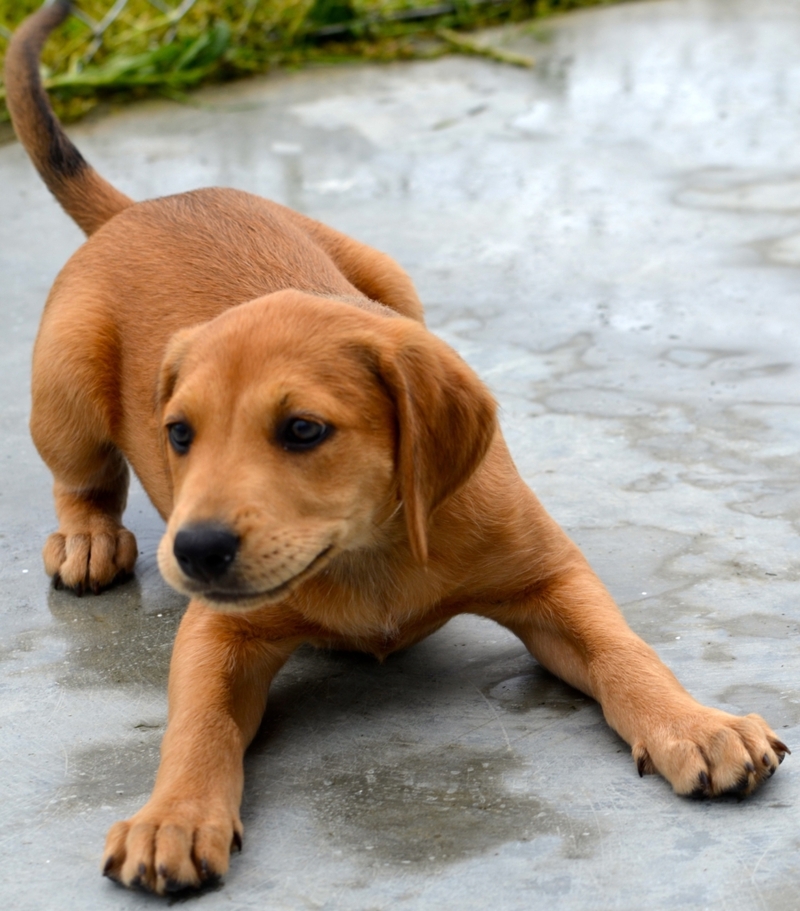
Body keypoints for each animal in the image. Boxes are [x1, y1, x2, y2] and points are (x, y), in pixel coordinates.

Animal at [6, 0, 792, 896]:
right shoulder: (217, 631)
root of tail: (142, 206)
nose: (195, 550)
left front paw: (696, 723)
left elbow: (626, 651)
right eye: (179, 433)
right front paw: (171, 814)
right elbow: (198, 723)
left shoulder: (551, 579)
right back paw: (88, 537)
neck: (370, 550)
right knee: (81, 476)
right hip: (62, 377)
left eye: (303, 430)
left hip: (388, 276)